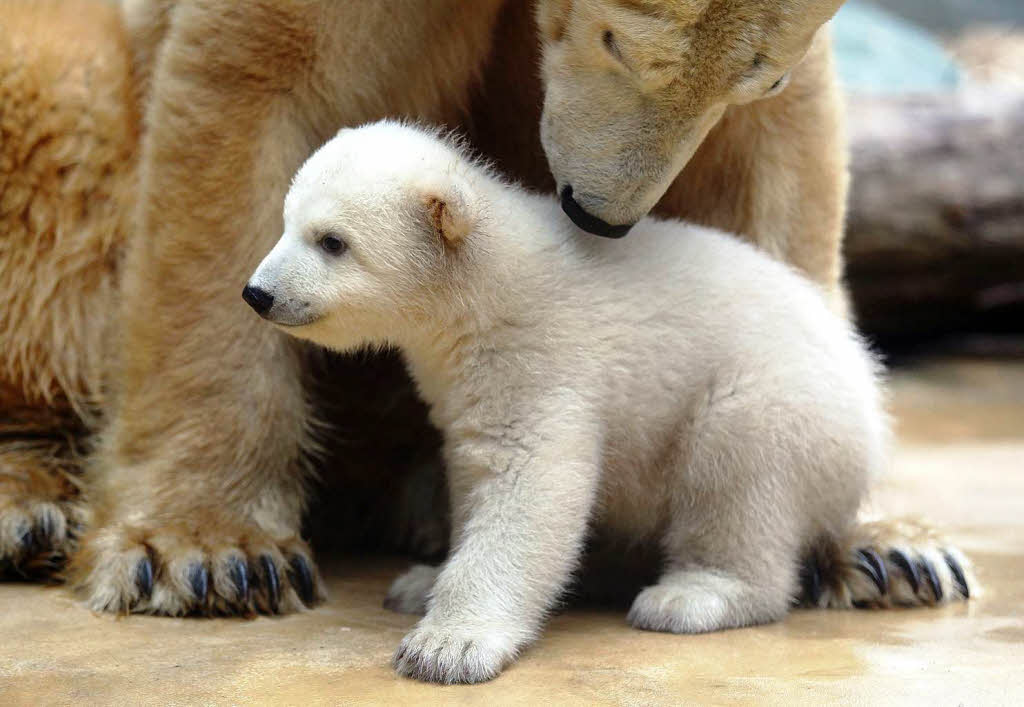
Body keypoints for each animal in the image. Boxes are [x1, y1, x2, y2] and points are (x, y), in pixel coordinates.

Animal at [58, 0, 847, 606]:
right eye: (616, 45)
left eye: (762, 75)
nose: (601, 219)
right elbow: (253, 85)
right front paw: (208, 552)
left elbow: (777, 149)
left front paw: (854, 540)